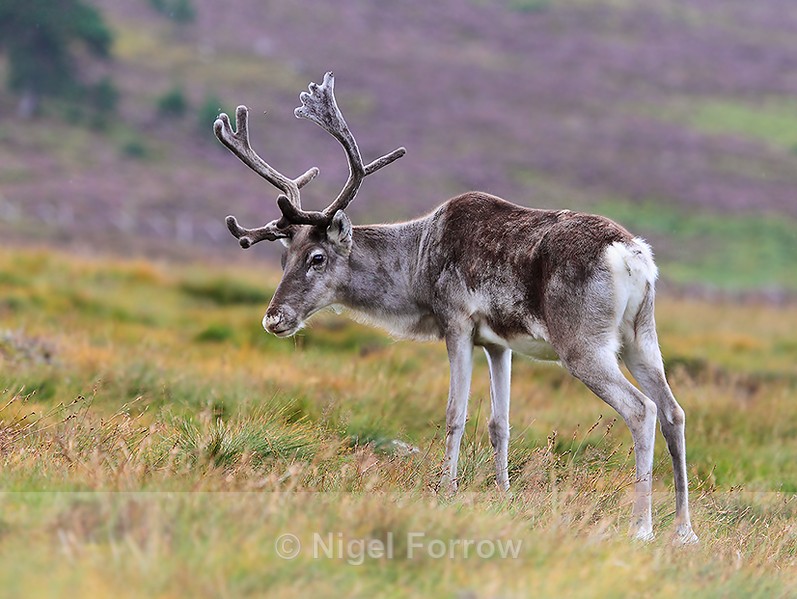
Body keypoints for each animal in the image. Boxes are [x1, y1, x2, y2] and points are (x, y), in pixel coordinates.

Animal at [213, 72, 698, 545]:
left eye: (316, 258)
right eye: (283, 258)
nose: (274, 318)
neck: (418, 262)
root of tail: (632, 255)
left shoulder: (457, 324)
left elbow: (455, 413)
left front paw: (447, 490)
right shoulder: (499, 343)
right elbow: (500, 423)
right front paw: (503, 495)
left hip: (583, 346)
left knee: (641, 410)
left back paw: (641, 528)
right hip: (641, 337)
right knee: (673, 411)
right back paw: (683, 531)